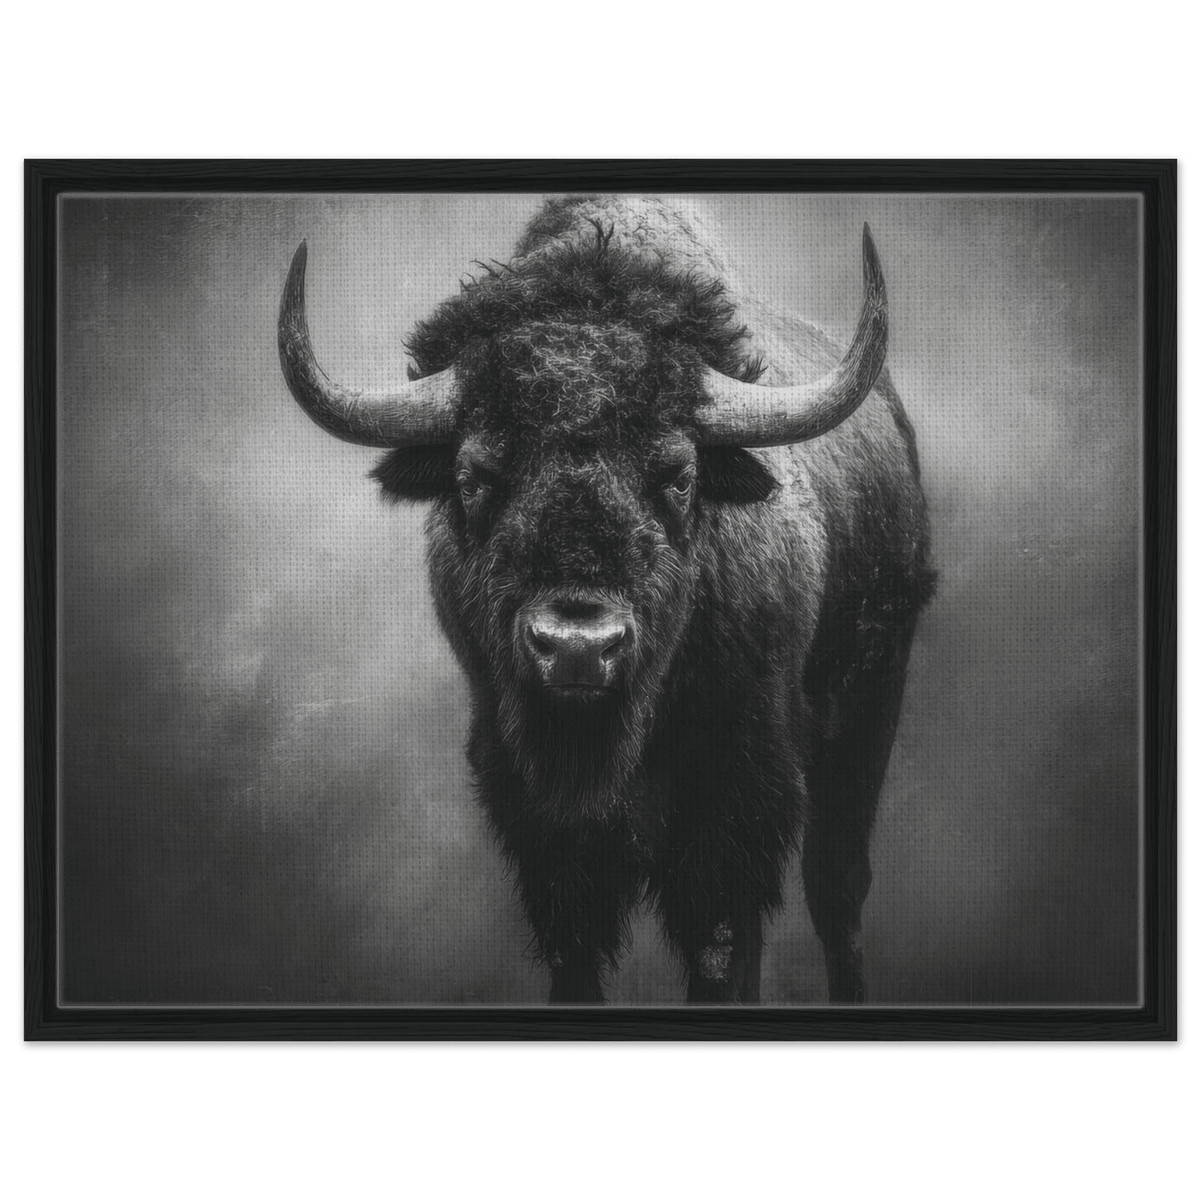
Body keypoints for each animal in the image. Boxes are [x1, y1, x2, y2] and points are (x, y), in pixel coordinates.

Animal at [277, 195, 935, 1005]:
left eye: (679, 474)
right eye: (474, 476)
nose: (577, 648)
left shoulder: (735, 799)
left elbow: (720, 943)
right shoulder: (537, 816)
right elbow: (577, 947)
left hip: (867, 714)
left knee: (836, 889)